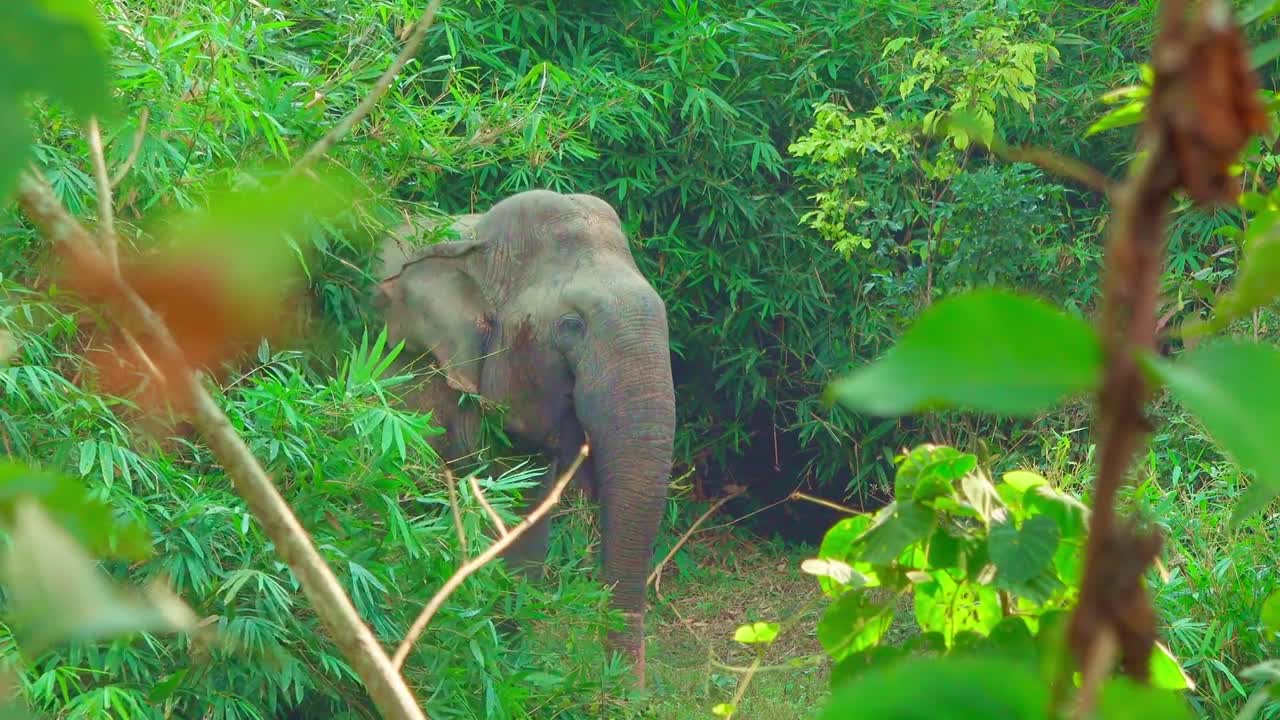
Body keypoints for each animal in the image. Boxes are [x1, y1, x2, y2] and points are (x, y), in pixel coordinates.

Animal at [373, 189, 676, 686]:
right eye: (572, 325)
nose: (623, 694)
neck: (475, 242)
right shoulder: (397, 369)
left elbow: (523, 524)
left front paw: (509, 675)